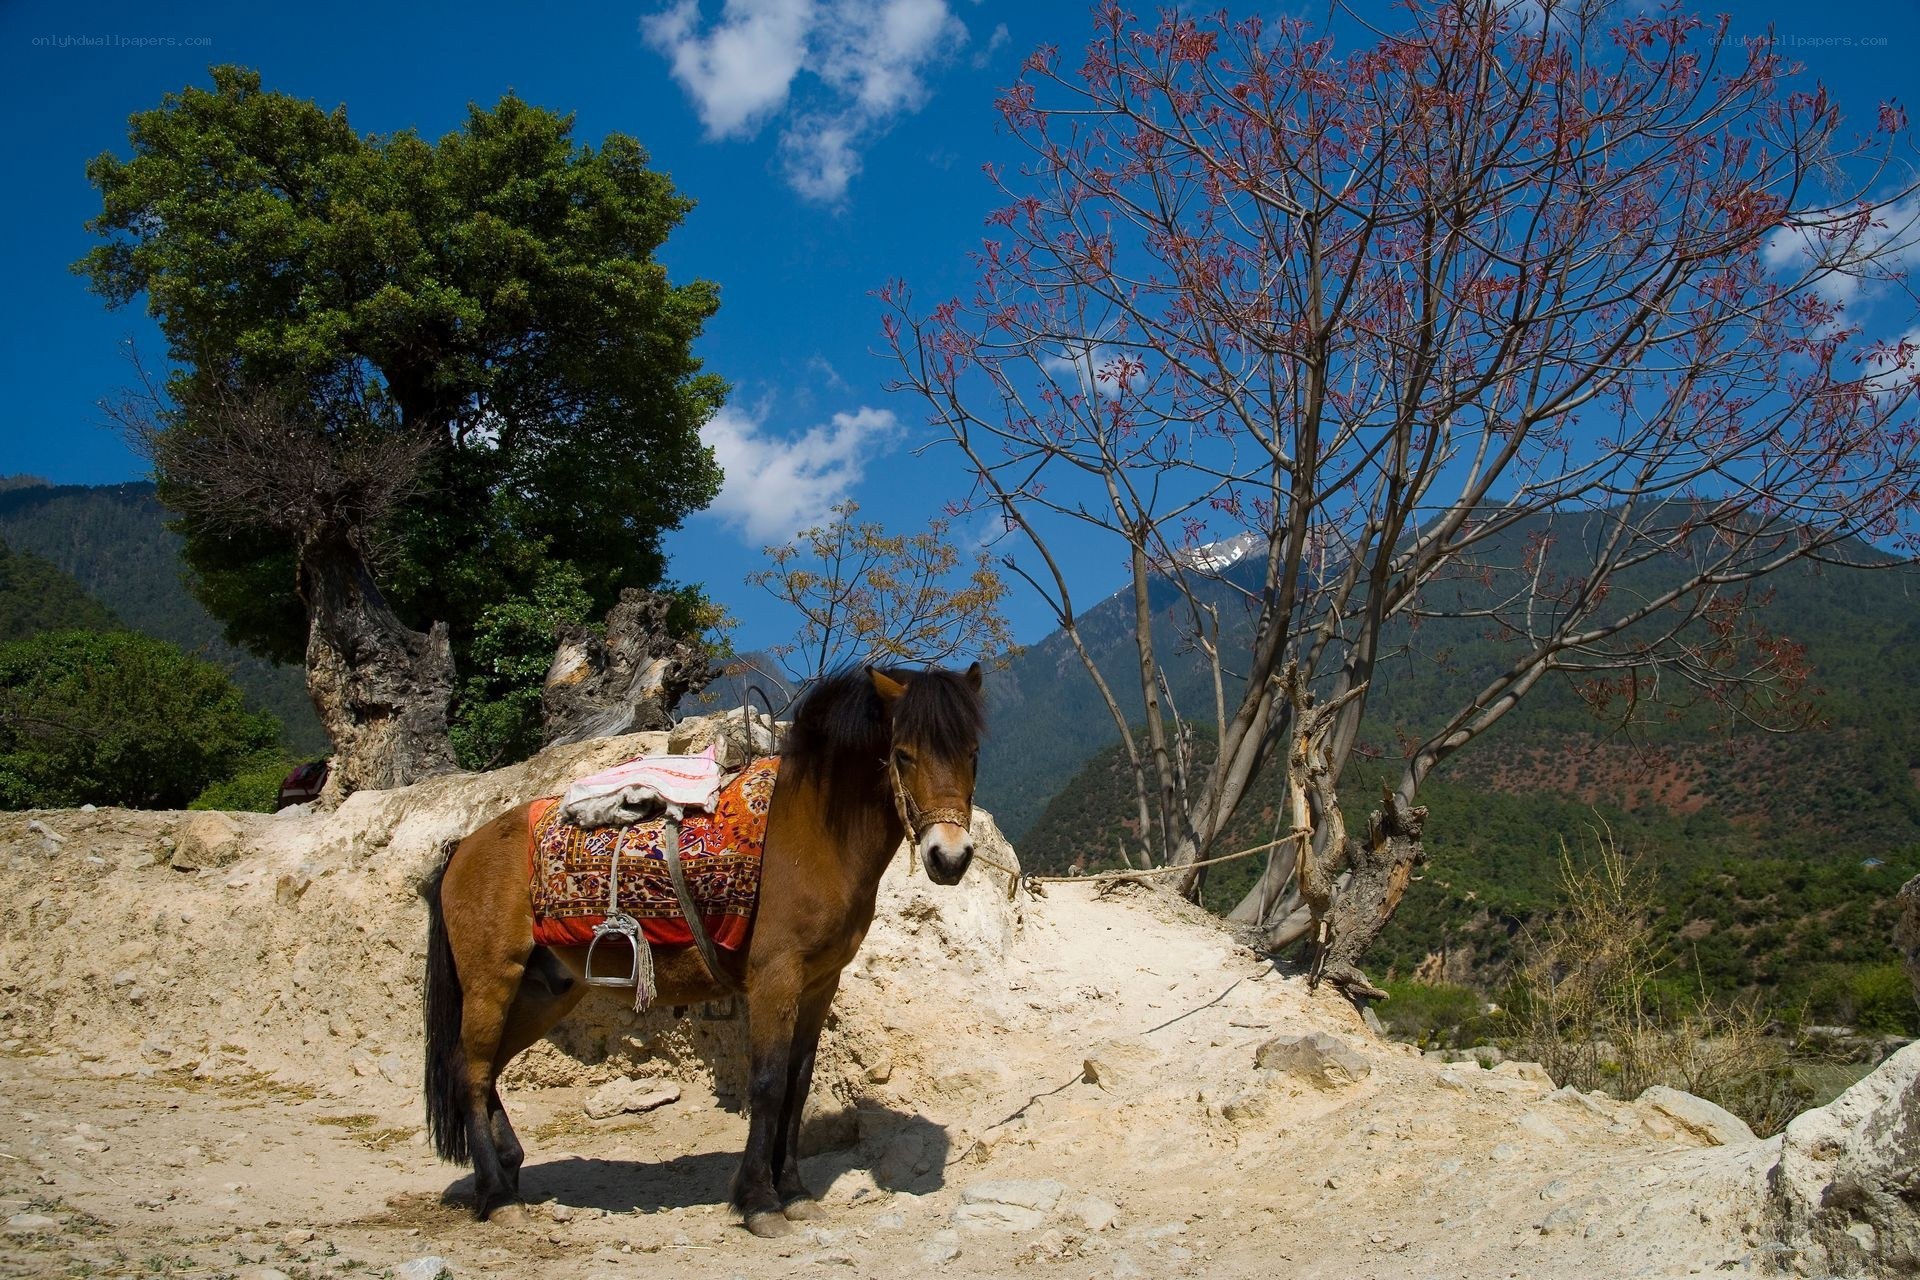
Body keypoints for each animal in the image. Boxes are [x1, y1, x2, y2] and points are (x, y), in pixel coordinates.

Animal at [420, 663, 984, 1236]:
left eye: (972, 754)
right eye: (903, 755)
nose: (950, 857)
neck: (815, 835)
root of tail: (463, 848)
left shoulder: (820, 983)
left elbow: (798, 1085)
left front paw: (794, 1191)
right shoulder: (775, 977)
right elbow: (768, 1083)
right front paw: (759, 1200)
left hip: (544, 992)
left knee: (484, 1067)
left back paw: (506, 1173)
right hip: (492, 982)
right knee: (469, 1073)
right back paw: (498, 1195)